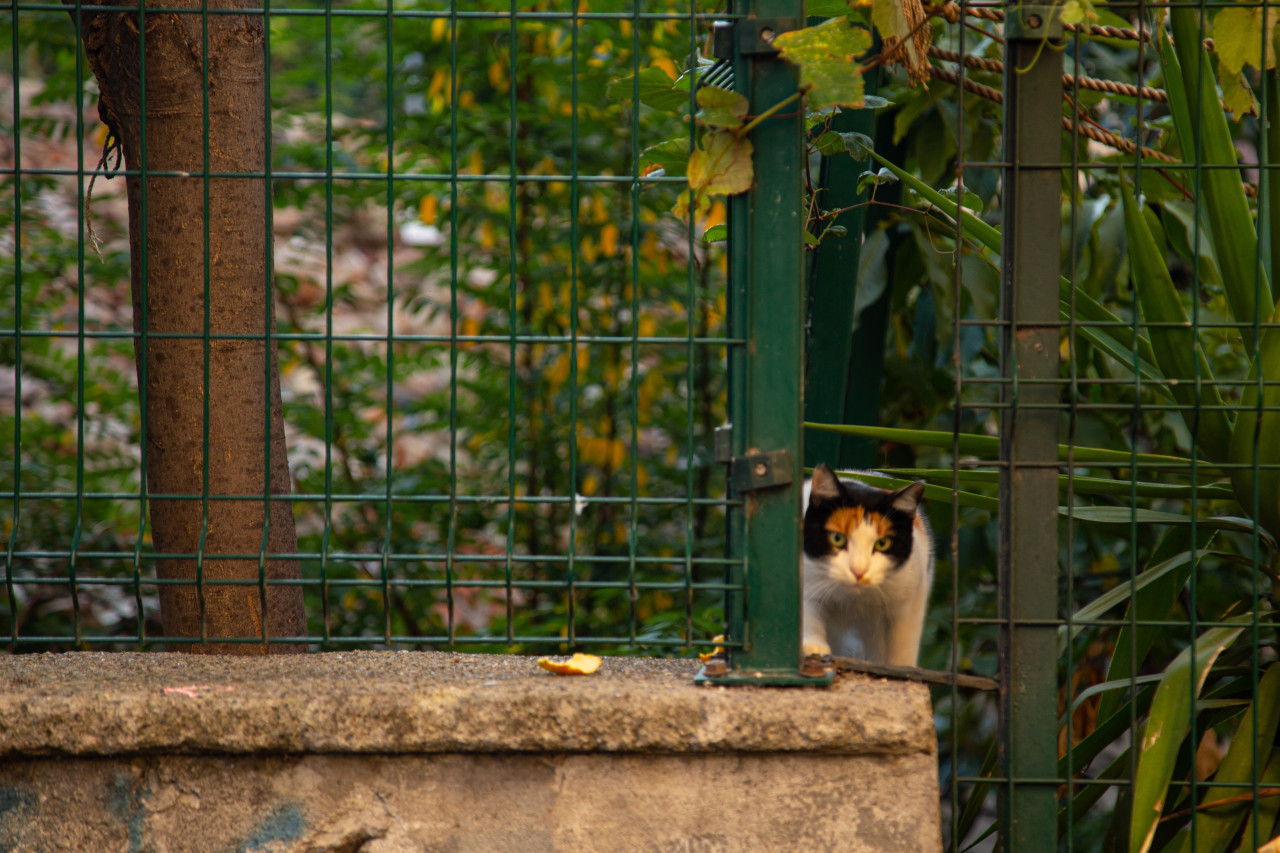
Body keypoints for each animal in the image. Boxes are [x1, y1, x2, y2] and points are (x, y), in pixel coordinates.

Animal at [803, 466, 936, 666]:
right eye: (837, 538)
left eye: (882, 543)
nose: (859, 571)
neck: (853, 599)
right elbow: (809, 615)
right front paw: (814, 647)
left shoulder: (909, 602)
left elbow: (903, 648)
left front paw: (902, 667)